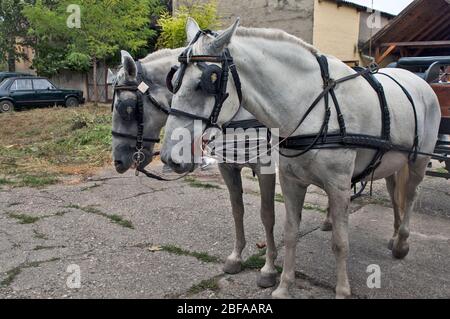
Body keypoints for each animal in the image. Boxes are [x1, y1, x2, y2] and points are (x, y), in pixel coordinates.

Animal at [160, 18, 442, 300]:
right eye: (174, 79)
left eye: (207, 81)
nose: (169, 156)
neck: (314, 108)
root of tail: (417, 79)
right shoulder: (289, 181)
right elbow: (288, 231)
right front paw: (284, 286)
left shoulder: (336, 185)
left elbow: (339, 242)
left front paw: (341, 290)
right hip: (393, 162)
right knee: (396, 194)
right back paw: (393, 236)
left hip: (417, 162)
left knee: (411, 195)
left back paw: (402, 242)